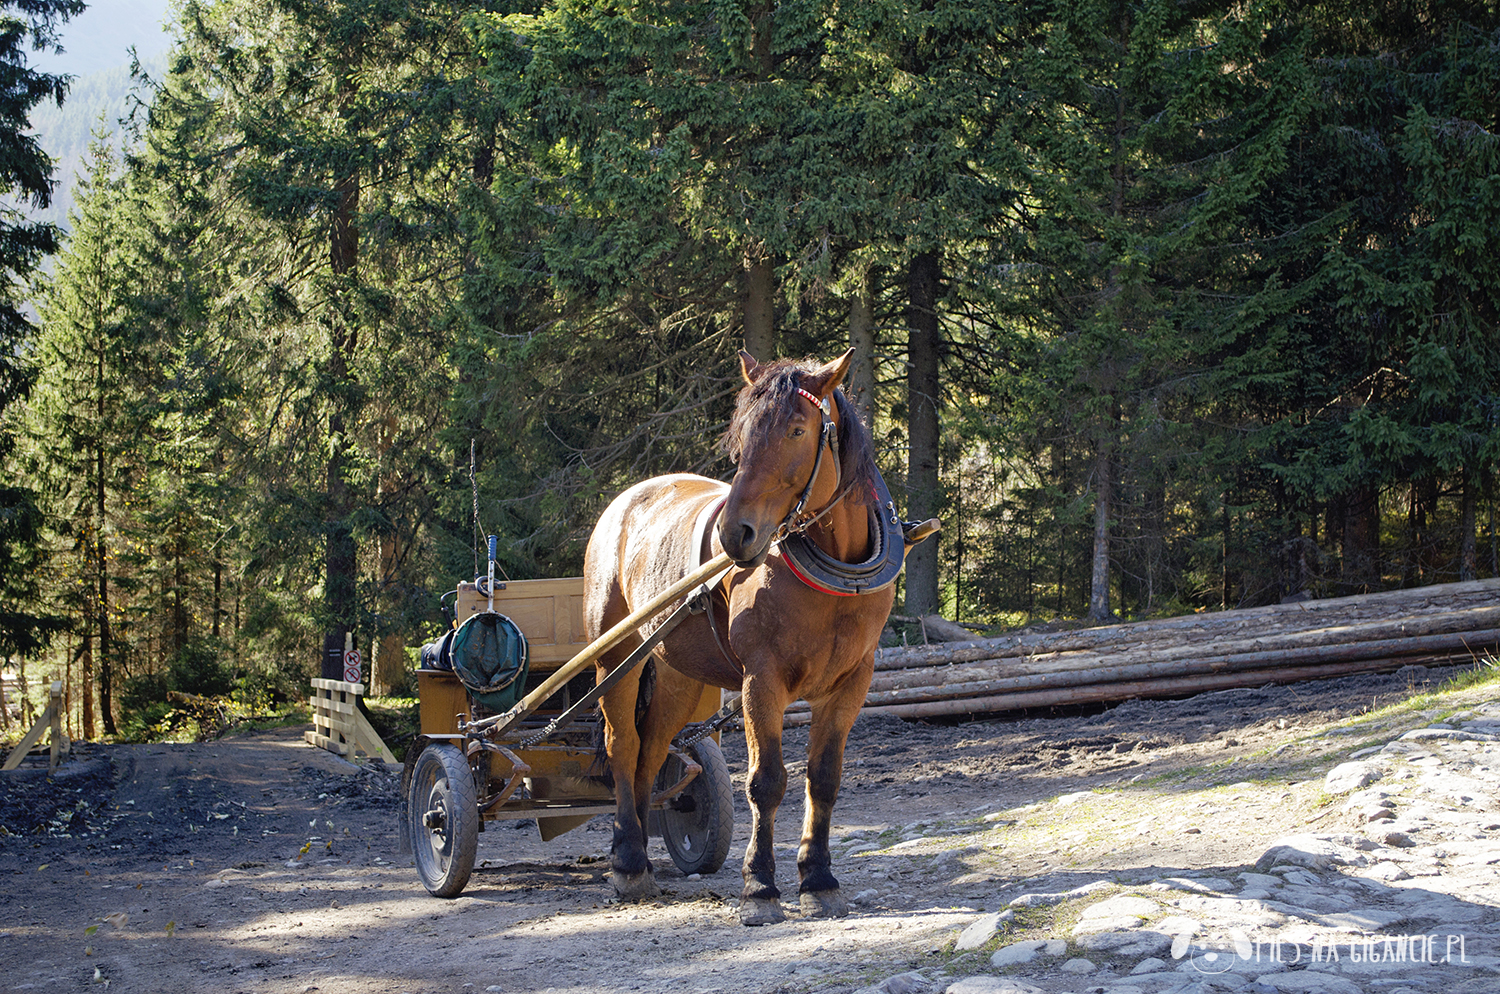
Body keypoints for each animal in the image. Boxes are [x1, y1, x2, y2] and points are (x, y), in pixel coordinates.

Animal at [579, 349, 894, 923]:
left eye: (797, 429)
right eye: (741, 435)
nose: (735, 534)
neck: (836, 572)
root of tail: (626, 501)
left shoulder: (851, 683)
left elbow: (824, 778)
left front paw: (818, 878)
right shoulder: (760, 681)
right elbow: (766, 781)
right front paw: (760, 886)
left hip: (678, 673)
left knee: (651, 750)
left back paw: (638, 853)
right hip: (616, 656)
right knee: (622, 745)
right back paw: (629, 861)